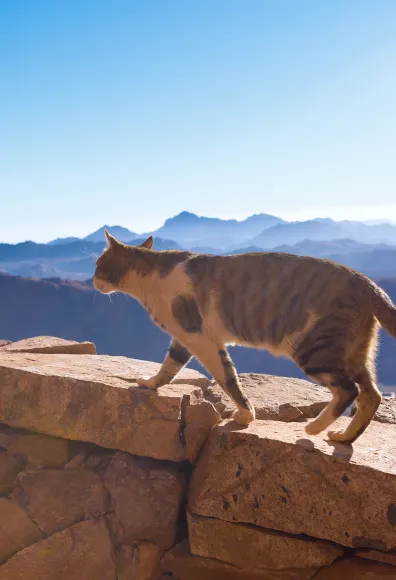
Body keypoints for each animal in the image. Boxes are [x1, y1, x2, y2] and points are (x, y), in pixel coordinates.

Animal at [92, 230, 396, 444]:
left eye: (97, 264)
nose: (92, 281)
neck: (150, 281)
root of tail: (371, 286)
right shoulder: (184, 338)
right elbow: (169, 367)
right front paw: (150, 384)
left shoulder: (199, 336)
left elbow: (227, 378)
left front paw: (246, 415)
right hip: (354, 352)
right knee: (371, 395)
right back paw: (344, 437)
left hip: (315, 347)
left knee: (349, 390)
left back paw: (313, 428)